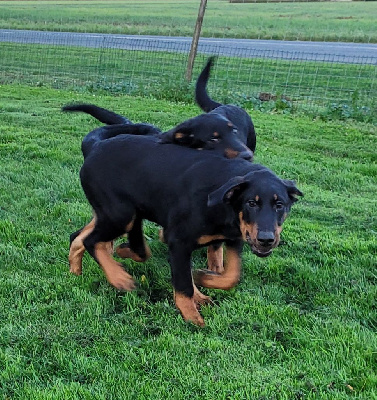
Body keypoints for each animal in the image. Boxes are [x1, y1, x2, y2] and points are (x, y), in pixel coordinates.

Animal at [72, 126, 302, 326]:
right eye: (251, 203)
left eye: (280, 205)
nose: (266, 240)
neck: (223, 203)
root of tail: (95, 147)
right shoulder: (178, 241)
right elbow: (183, 285)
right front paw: (192, 317)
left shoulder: (235, 238)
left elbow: (232, 276)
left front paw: (204, 277)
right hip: (121, 215)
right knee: (92, 241)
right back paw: (119, 277)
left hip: (113, 214)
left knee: (79, 236)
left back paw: (76, 270)